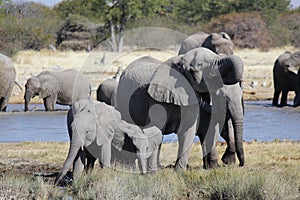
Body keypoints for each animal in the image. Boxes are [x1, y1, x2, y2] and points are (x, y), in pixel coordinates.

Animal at [116, 47, 245, 169]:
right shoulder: (157, 97)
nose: (239, 164)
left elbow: (189, 130)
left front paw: (180, 170)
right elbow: (156, 129)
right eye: (200, 65)